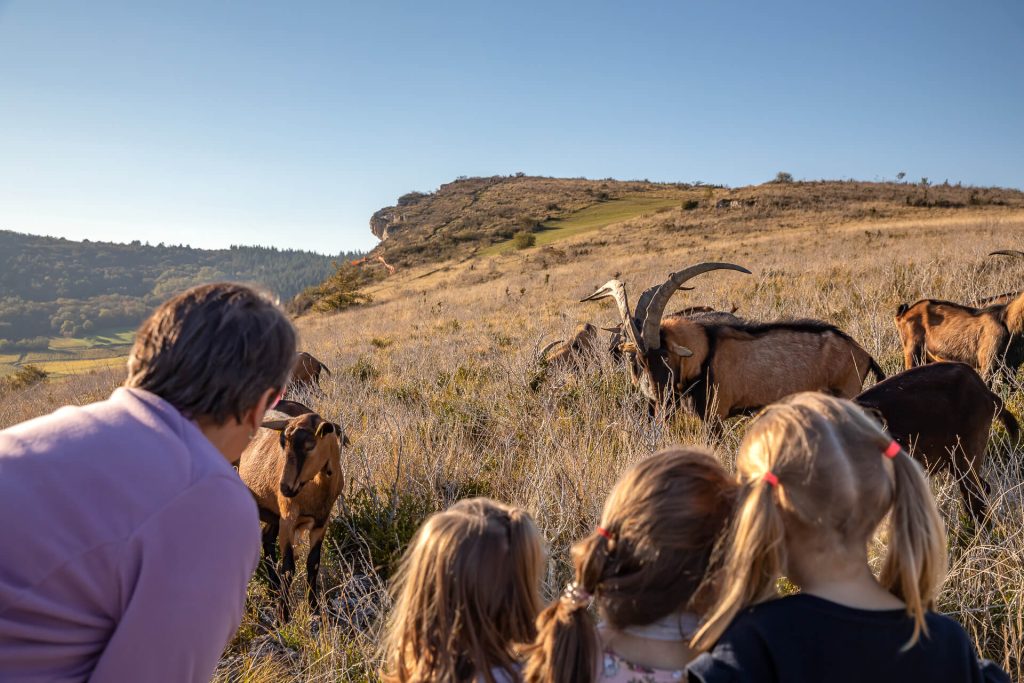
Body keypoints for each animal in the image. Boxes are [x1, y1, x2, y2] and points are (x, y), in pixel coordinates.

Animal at [585, 264, 888, 419]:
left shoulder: (716, 415)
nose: (660, 402)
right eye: (638, 360)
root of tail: (863, 354)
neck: (706, 350)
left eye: (667, 355)